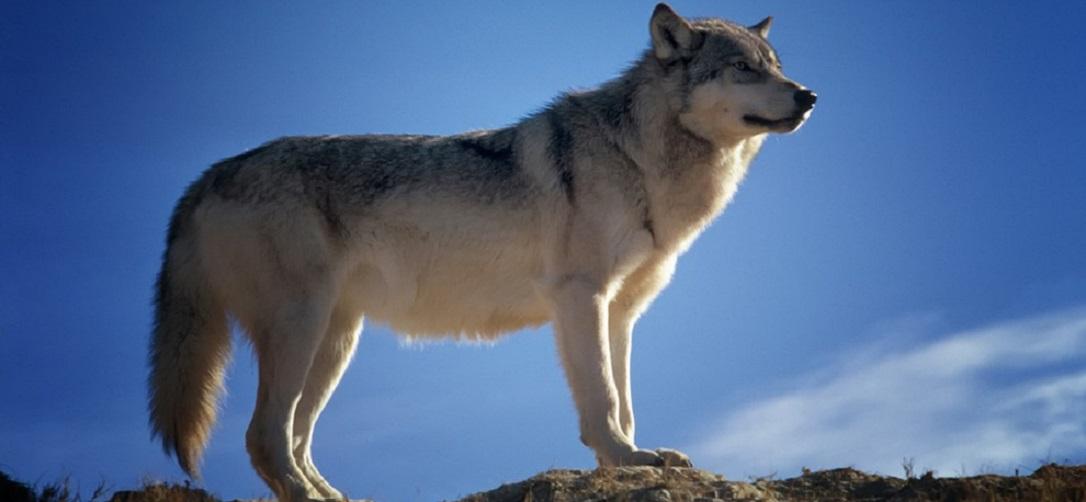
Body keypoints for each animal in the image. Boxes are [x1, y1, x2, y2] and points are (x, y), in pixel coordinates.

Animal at [148, 4, 815, 500]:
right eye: (743, 69)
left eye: (776, 66)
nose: (808, 96)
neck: (639, 158)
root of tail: (206, 176)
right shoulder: (581, 297)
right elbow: (601, 399)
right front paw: (625, 460)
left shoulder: (621, 312)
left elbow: (624, 401)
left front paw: (628, 461)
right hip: (301, 329)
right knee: (264, 437)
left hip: (336, 342)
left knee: (293, 437)